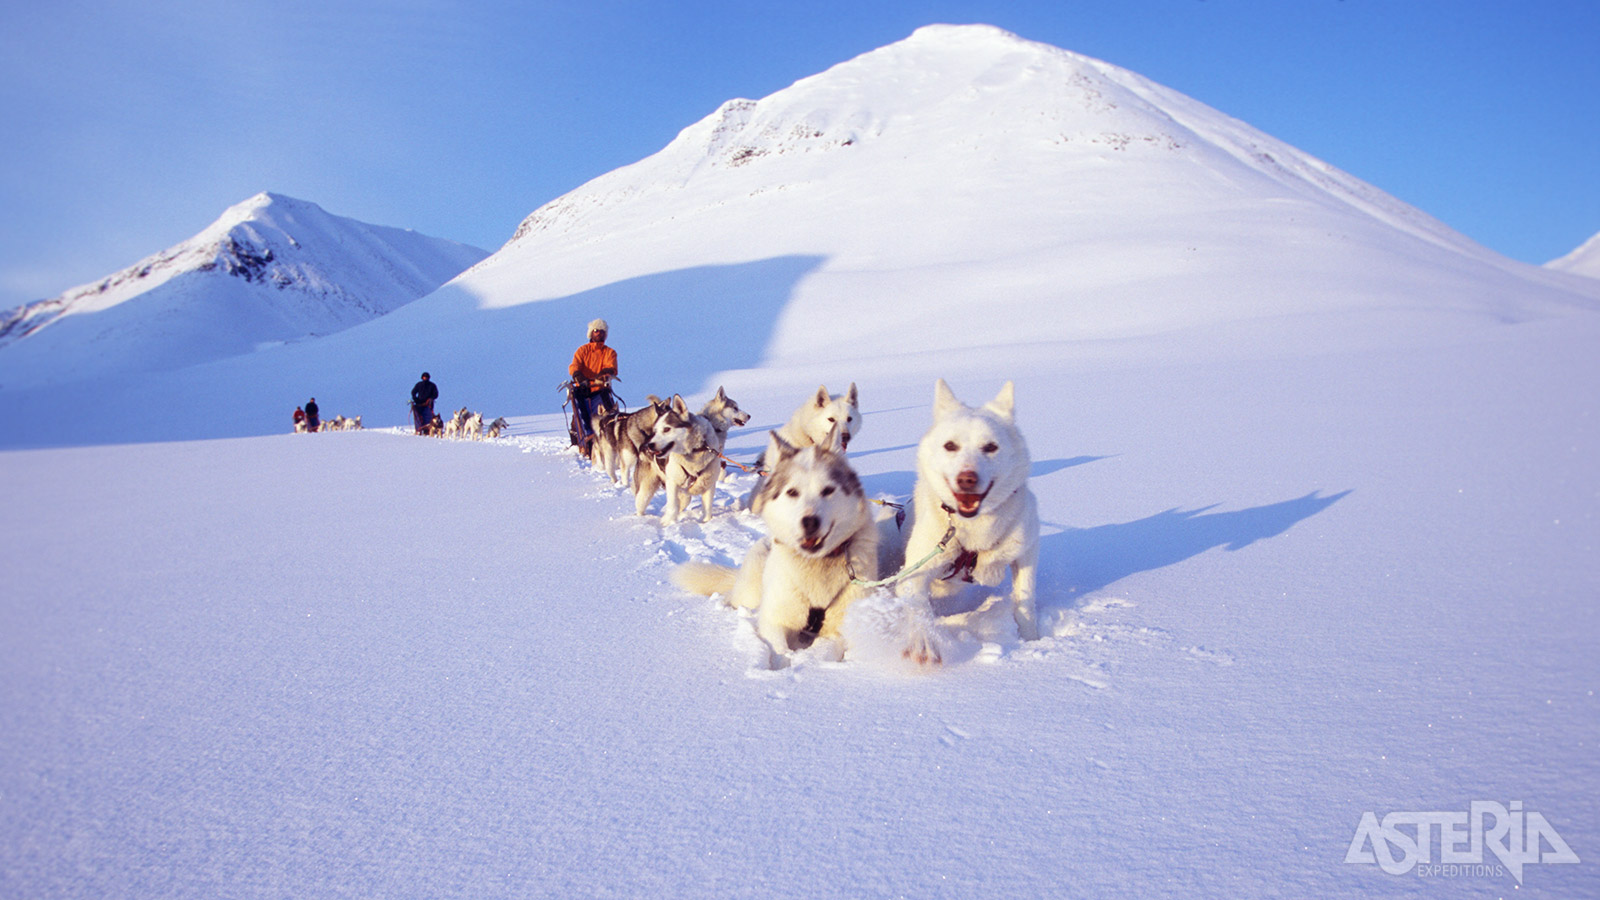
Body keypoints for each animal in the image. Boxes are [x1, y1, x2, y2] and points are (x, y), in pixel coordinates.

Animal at [672, 429, 883, 666]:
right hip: (751, 590)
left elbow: (825, 646)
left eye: (828, 490)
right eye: (792, 492)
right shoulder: (774, 620)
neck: (816, 563)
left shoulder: (837, 630)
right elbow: (779, 649)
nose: (810, 522)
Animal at [896, 377, 1043, 659]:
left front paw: (1031, 639)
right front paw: (924, 642)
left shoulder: (1026, 552)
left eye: (991, 447)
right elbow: (918, 610)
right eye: (950, 446)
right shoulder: (914, 573)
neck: (973, 531)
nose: (967, 478)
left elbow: (1025, 599)